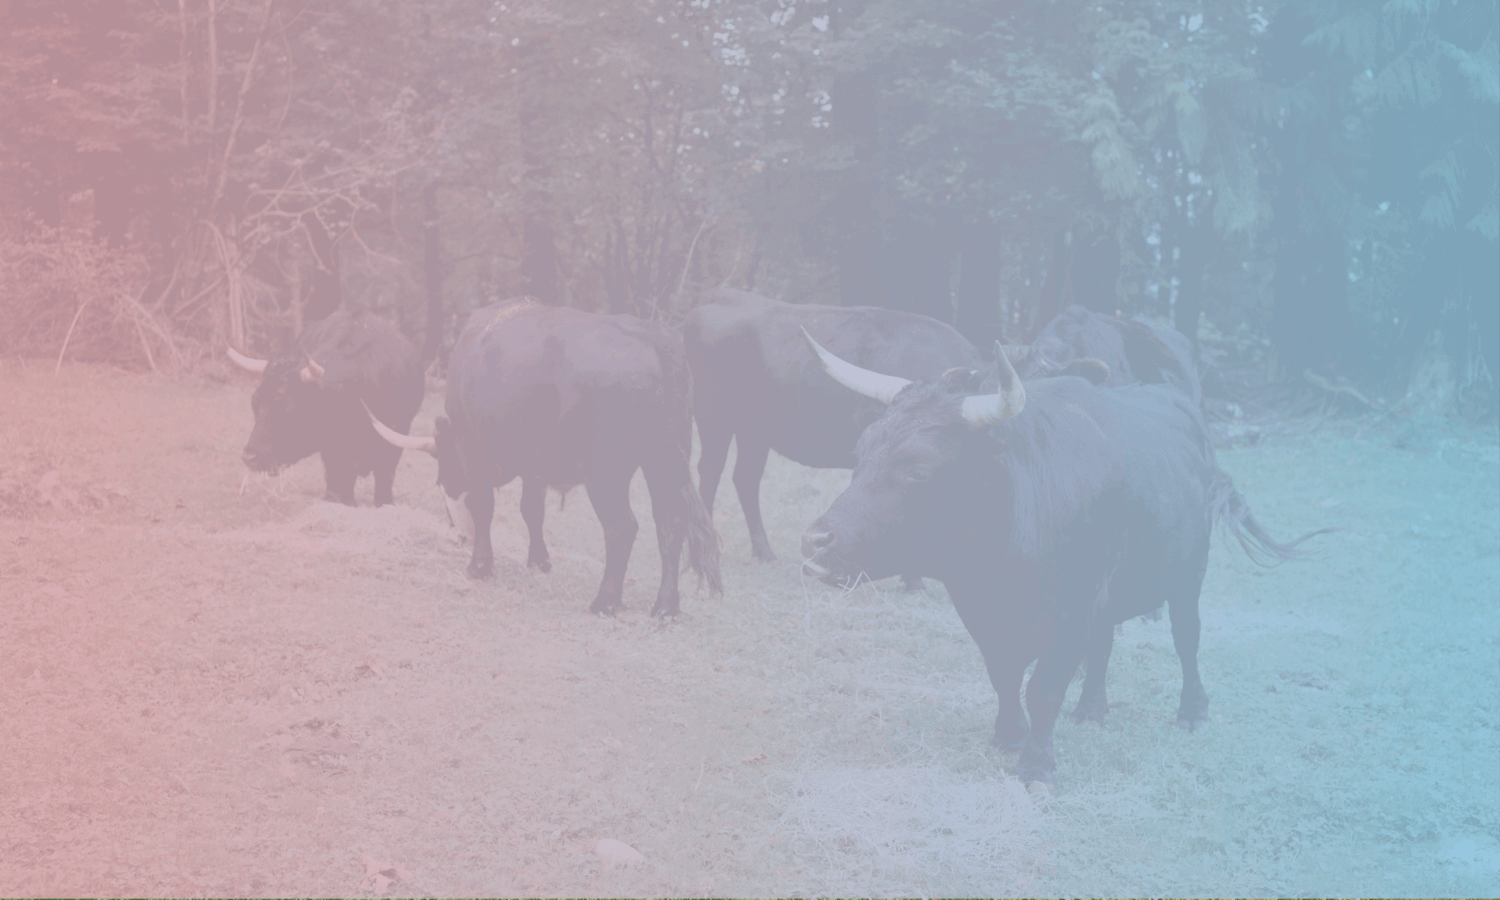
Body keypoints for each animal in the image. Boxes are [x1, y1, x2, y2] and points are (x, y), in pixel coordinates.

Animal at [228, 307, 424, 506]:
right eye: (255, 403)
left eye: (288, 408)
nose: (249, 457)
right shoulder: (335, 456)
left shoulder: (394, 443)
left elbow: (384, 486)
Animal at [369, 298, 721, 617]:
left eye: (445, 476)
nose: (457, 536)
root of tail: (651, 338)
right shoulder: (534, 465)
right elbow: (532, 510)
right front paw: (539, 559)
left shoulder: (473, 446)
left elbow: (483, 504)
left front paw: (480, 565)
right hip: (663, 461)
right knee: (670, 523)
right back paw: (665, 606)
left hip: (604, 472)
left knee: (622, 526)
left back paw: (605, 602)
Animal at [683, 287, 985, 563]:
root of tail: (722, 293)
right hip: (713, 418)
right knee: (710, 472)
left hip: (753, 432)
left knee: (745, 478)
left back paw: (764, 553)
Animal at [797, 333, 1323, 786]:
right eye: (859, 453)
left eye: (918, 471)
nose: (815, 541)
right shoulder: (984, 610)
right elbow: (1004, 674)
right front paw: (1009, 736)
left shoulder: (1072, 607)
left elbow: (1044, 688)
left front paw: (1036, 766)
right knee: (1104, 645)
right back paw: (1091, 710)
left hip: (1187, 575)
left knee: (1186, 638)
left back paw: (1193, 712)